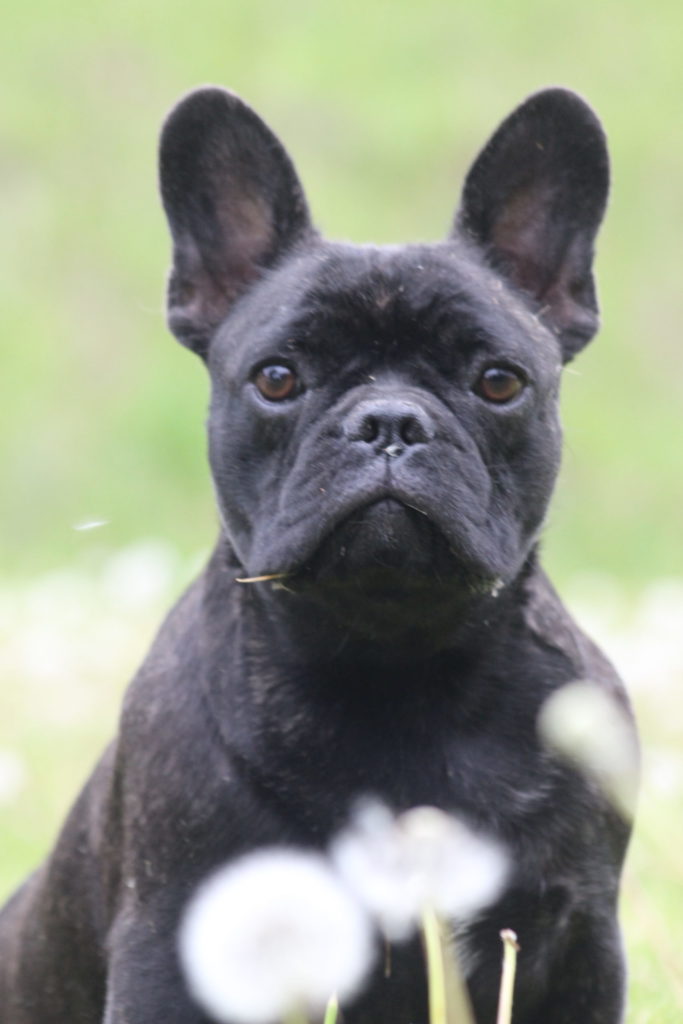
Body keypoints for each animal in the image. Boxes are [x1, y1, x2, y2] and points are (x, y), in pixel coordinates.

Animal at [1, 90, 643, 1024]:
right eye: (276, 378)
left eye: (498, 381)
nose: (389, 421)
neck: (399, 660)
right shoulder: (173, 944)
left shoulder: (578, 945)